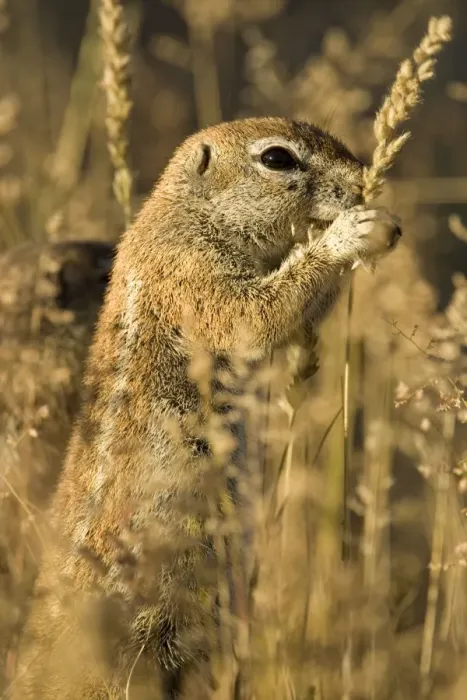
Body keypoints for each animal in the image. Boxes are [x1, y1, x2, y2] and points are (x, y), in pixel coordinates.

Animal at [11, 118, 401, 699]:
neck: (191, 210)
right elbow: (253, 316)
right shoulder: (190, 267)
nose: (361, 183)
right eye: (278, 158)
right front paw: (351, 233)